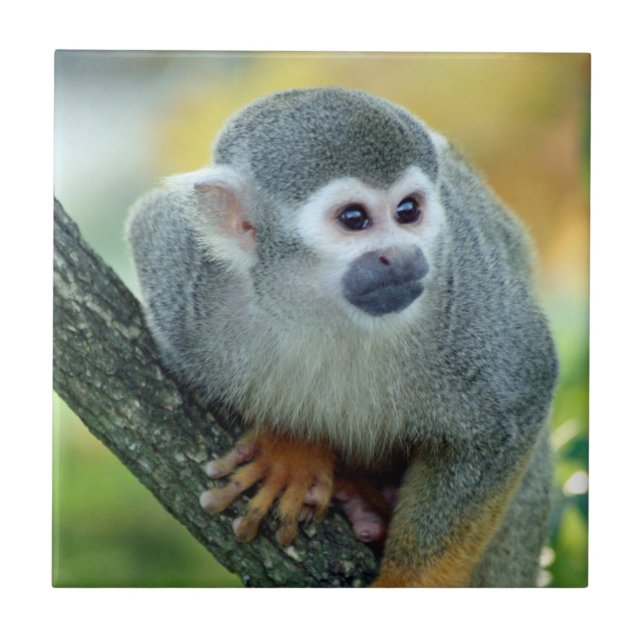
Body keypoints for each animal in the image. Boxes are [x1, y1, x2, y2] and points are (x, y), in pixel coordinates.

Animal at [126, 87, 558, 587]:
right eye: (354, 218)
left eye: (408, 211)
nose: (402, 257)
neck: (326, 309)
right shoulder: (190, 287)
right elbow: (147, 222)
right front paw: (290, 448)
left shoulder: (466, 286)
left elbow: (519, 399)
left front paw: (405, 585)